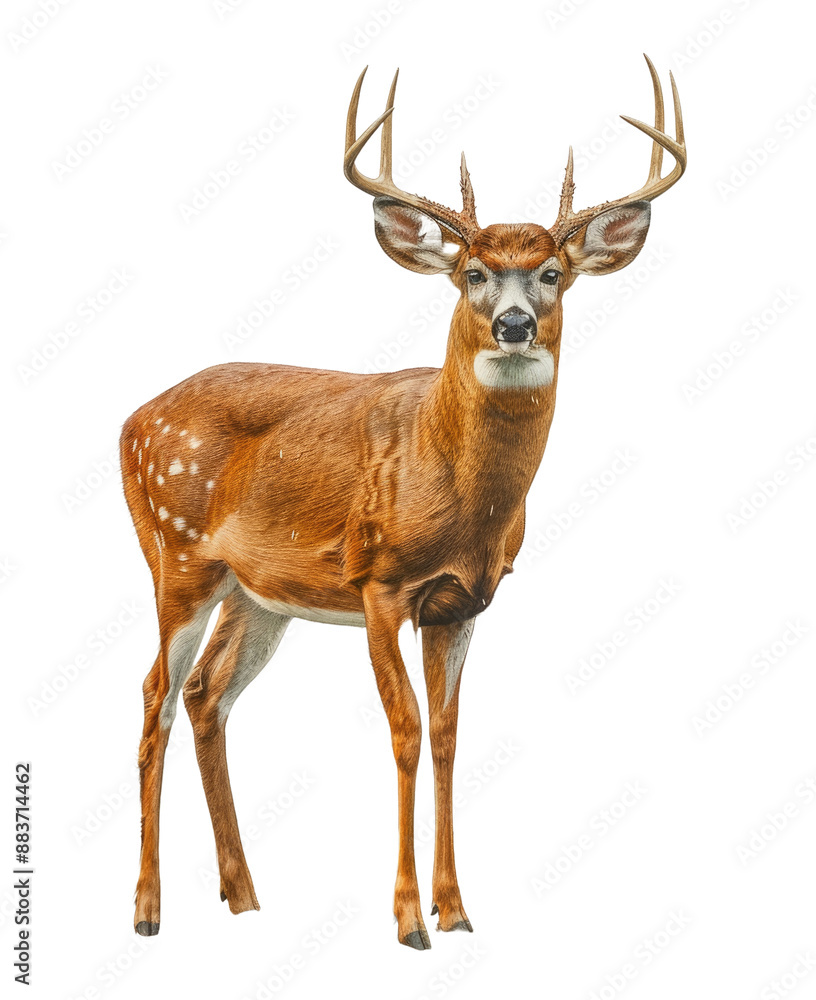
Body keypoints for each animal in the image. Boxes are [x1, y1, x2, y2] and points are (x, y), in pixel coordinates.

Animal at [120, 55, 686, 950]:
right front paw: (409, 917)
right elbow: (406, 730)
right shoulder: (378, 580)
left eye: (553, 274)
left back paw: (244, 896)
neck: (456, 492)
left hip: (259, 593)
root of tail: (129, 421)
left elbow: (450, 735)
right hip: (174, 553)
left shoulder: (461, 602)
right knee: (155, 696)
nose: (516, 324)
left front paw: (457, 910)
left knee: (208, 694)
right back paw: (147, 909)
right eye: (472, 273)